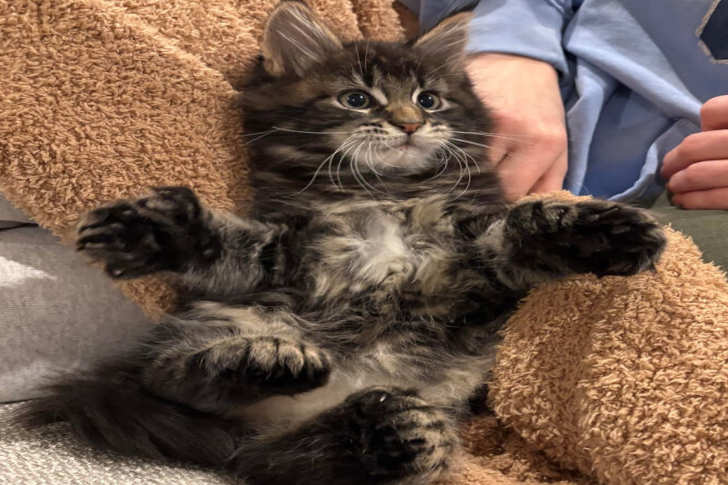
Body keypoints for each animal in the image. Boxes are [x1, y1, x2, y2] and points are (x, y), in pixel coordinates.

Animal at [14, 3, 666, 484]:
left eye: (429, 99)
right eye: (357, 99)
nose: (409, 124)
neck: (383, 195)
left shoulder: (474, 263)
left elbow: (529, 223)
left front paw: (609, 231)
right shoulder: (281, 256)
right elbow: (221, 244)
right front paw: (151, 230)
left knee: (305, 454)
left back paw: (394, 432)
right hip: (220, 328)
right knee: (176, 382)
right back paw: (272, 363)